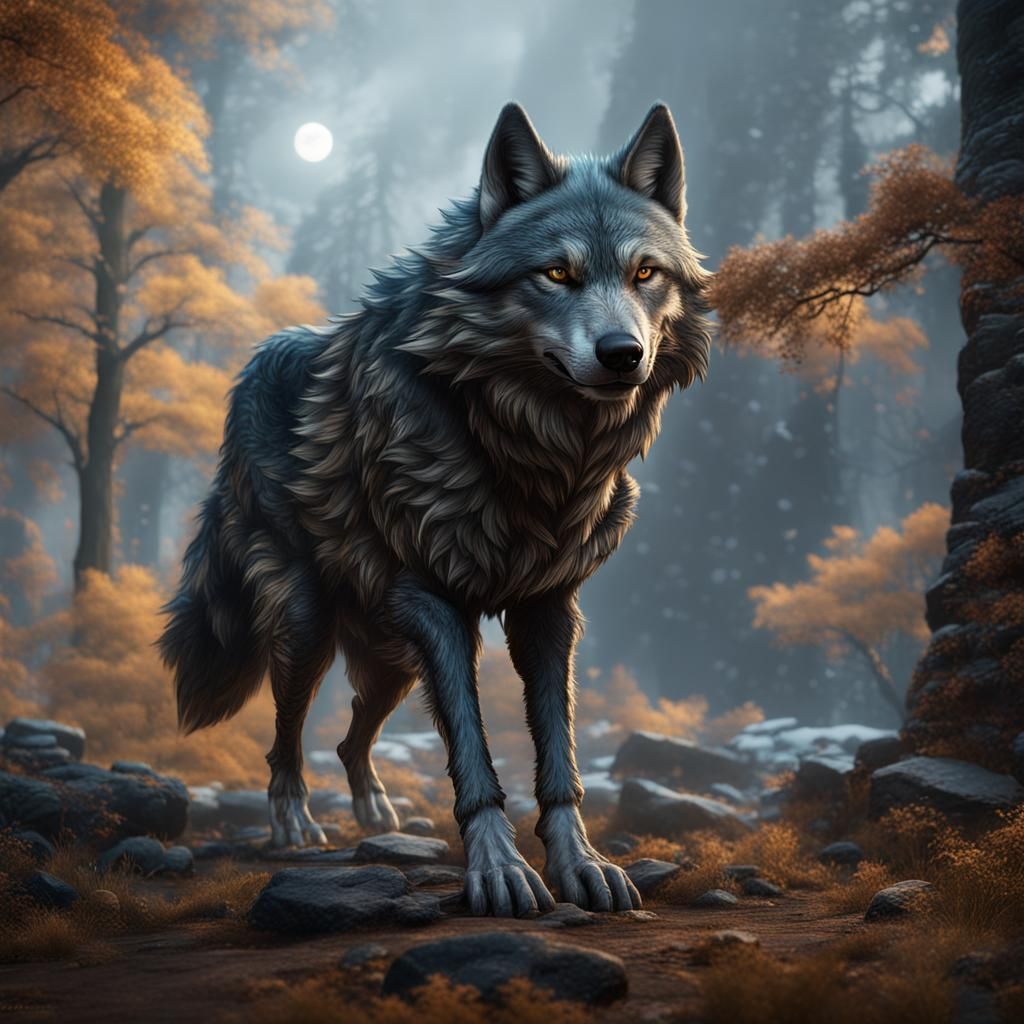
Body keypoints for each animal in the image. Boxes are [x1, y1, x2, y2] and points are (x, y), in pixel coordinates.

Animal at [160, 101, 712, 916]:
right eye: (556, 273)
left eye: (646, 273)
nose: (622, 354)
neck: (529, 451)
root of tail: (250, 370)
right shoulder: (434, 603)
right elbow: (475, 757)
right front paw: (500, 872)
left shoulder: (549, 607)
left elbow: (559, 754)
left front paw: (580, 864)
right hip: (309, 626)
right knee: (287, 736)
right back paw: (295, 824)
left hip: (391, 658)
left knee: (350, 737)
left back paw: (375, 814)